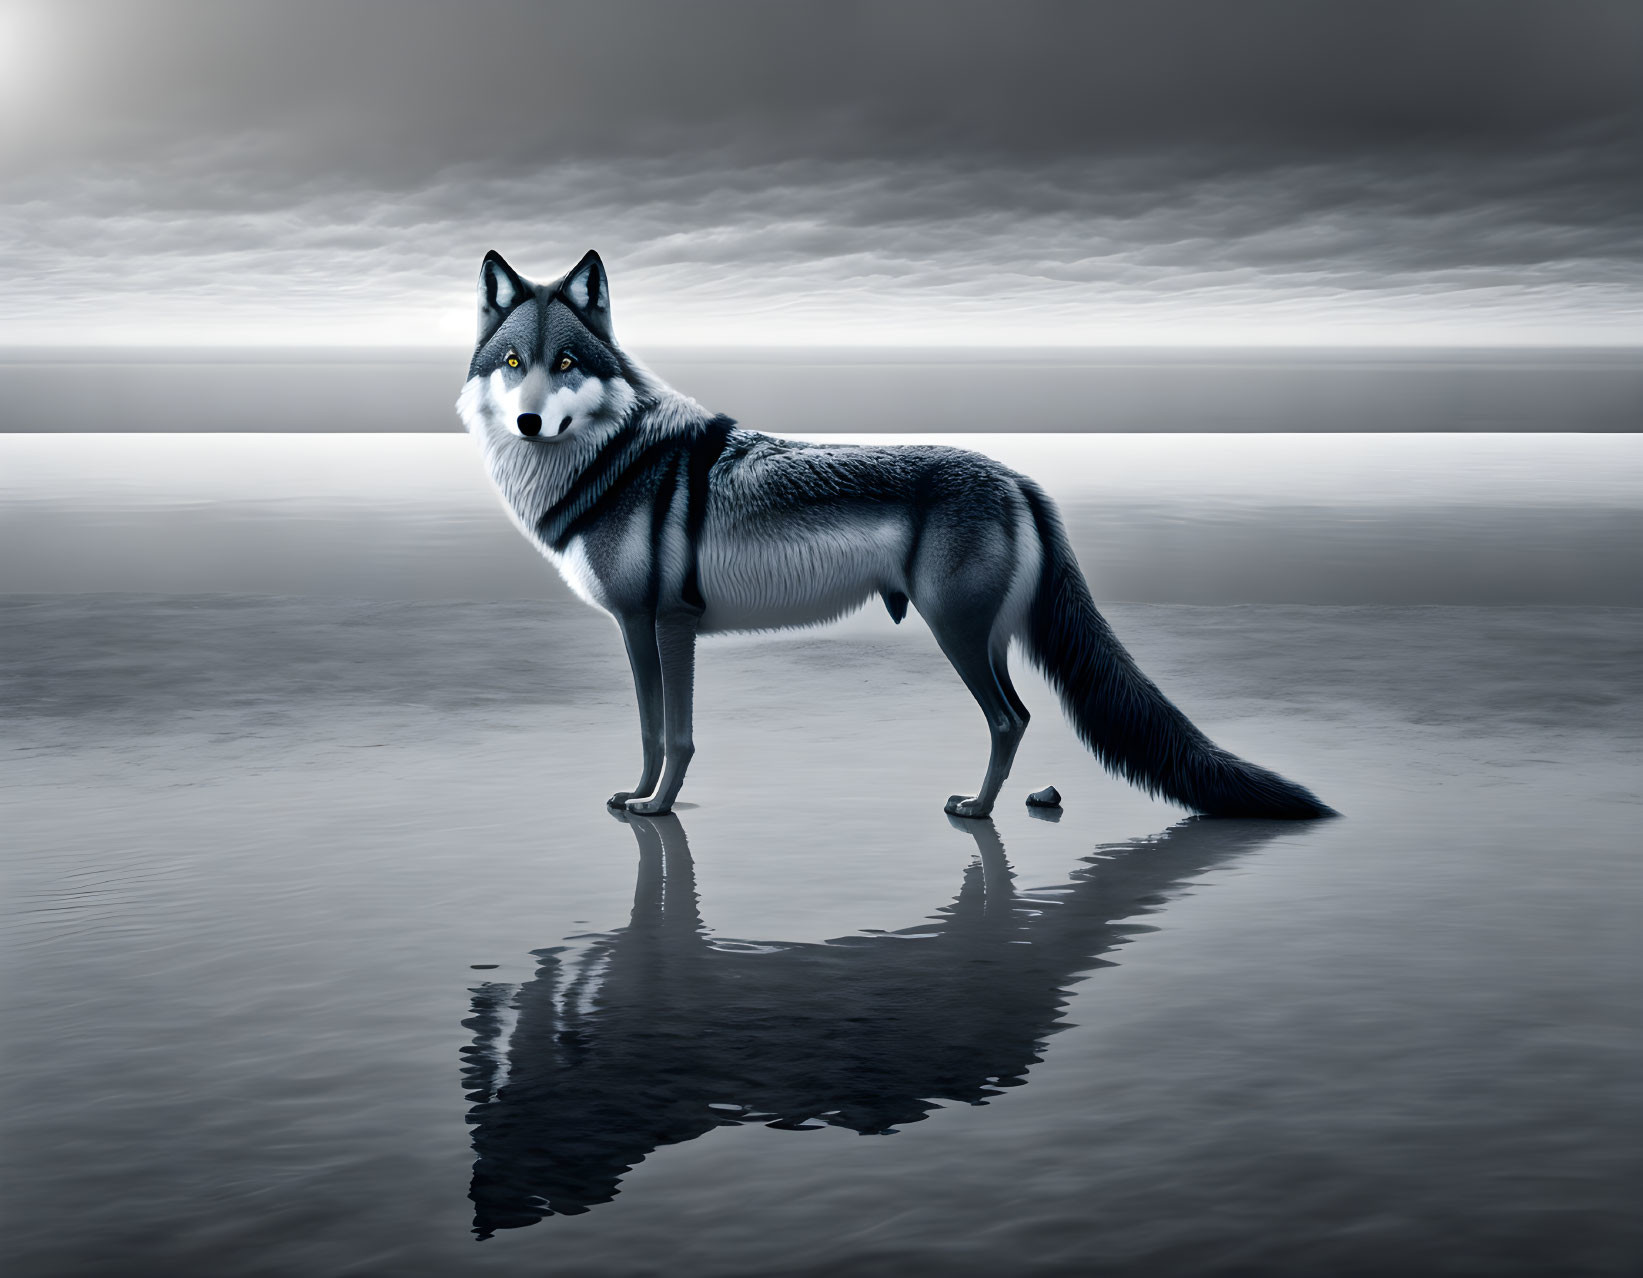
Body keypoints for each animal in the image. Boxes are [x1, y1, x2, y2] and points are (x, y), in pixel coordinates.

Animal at [456, 246, 1327, 818]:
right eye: (511, 363)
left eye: (567, 362)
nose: (530, 422)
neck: (611, 460)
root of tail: (1019, 479)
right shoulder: (645, 632)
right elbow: (647, 730)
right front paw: (641, 798)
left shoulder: (660, 626)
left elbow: (669, 735)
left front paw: (654, 806)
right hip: (983, 641)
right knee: (1018, 719)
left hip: (958, 637)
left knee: (1010, 720)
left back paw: (976, 810)